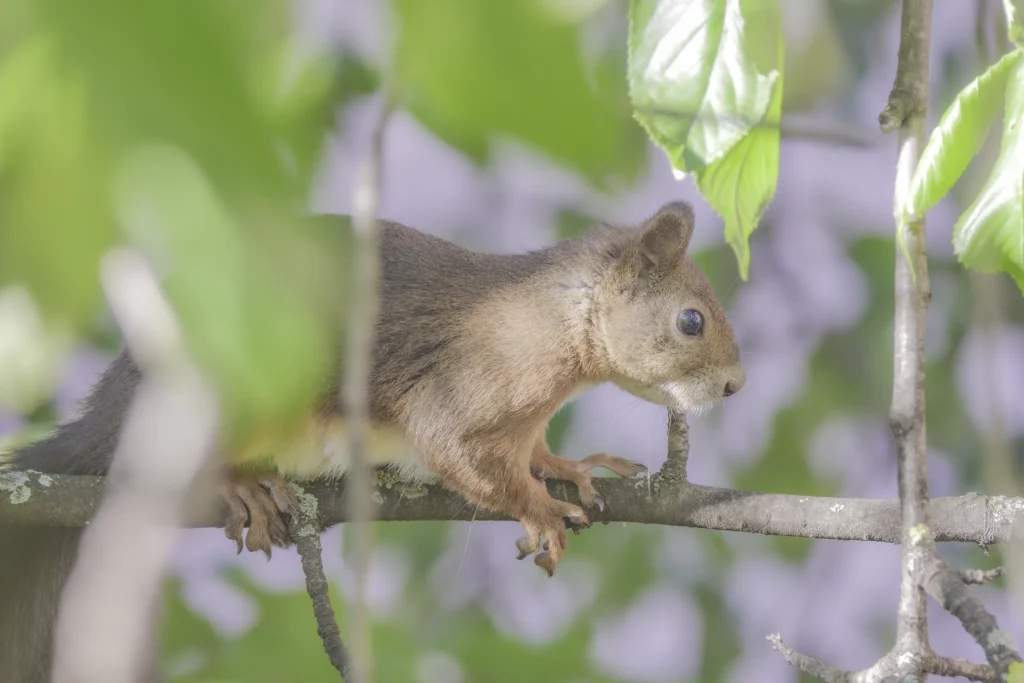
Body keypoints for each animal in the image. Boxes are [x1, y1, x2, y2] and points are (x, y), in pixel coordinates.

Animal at [0, 200, 744, 682]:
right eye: (691, 320)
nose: (736, 385)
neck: (556, 315)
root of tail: (111, 409)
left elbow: (528, 453)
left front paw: (568, 465)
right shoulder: (466, 383)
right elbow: (461, 453)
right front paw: (538, 509)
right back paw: (240, 484)